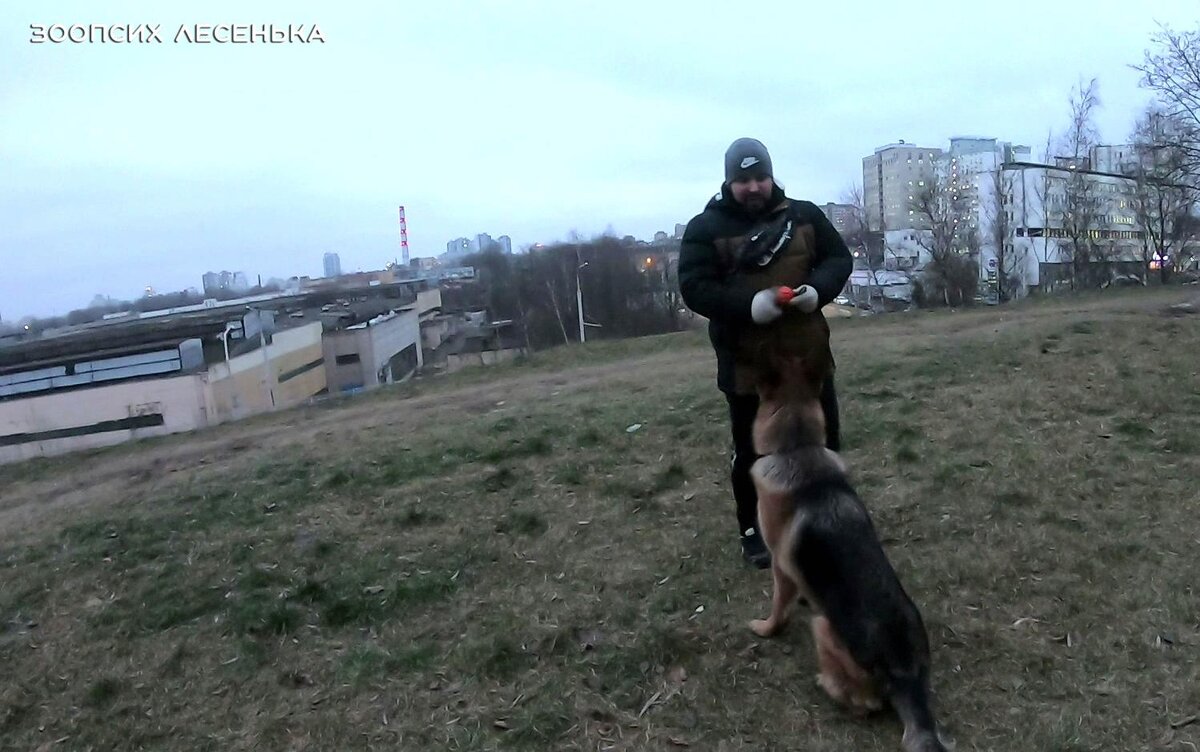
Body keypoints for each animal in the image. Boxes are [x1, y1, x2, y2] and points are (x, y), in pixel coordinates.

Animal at [744, 350, 950, 748]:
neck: (798, 446)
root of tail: (906, 676)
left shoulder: (780, 566)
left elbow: (778, 606)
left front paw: (765, 628)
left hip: (823, 628)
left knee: (864, 705)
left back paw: (826, 684)